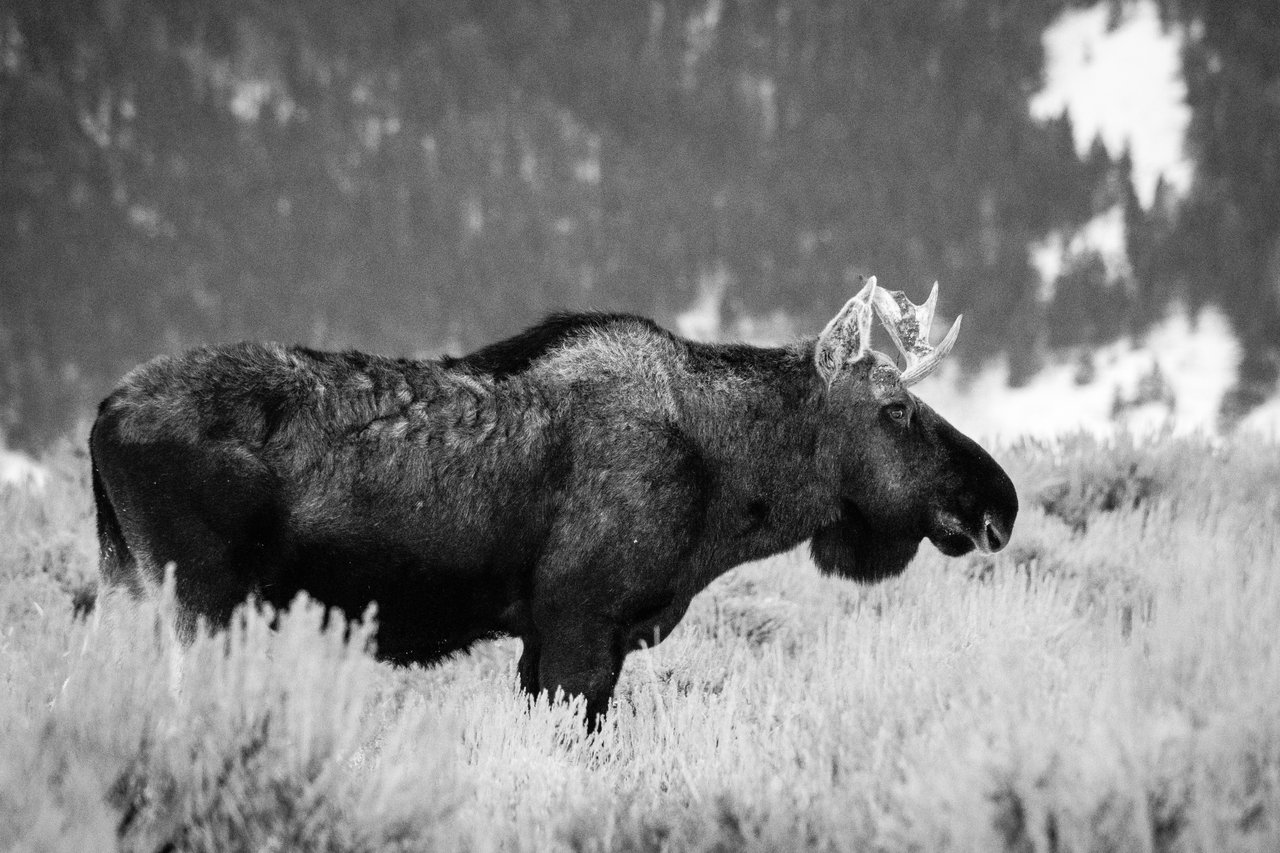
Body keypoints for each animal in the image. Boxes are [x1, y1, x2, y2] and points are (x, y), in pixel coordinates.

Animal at [91, 277, 1017, 723]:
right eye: (895, 408)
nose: (998, 501)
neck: (728, 488)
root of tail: (102, 414)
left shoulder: (540, 638)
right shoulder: (582, 625)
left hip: (126, 586)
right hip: (198, 604)